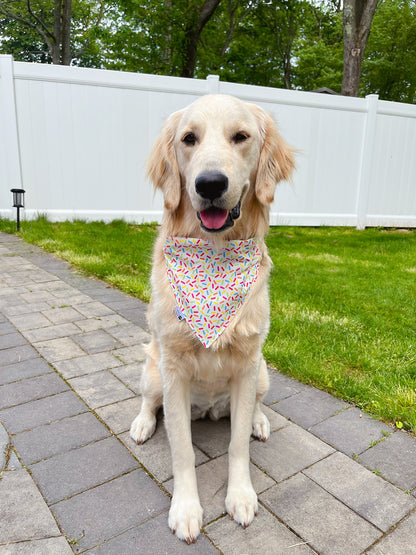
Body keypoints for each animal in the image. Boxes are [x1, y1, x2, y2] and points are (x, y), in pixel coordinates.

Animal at [130, 94, 296, 544]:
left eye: (241, 136)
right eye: (189, 139)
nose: (209, 185)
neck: (215, 254)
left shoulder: (247, 363)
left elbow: (238, 445)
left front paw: (240, 497)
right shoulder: (173, 369)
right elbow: (182, 450)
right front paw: (186, 509)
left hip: (262, 373)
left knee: (253, 407)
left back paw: (259, 420)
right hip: (153, 372)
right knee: (149, 402)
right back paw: (142, 423)